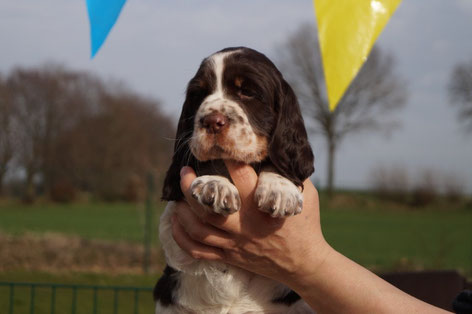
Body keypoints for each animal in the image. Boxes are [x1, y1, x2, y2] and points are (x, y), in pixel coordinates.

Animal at [155, 47, 316, 314]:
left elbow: (276, 160)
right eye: (199, 94)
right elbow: (206, 161)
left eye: (247, 92)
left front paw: (281, 190)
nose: (211, 121)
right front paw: (215, 185)